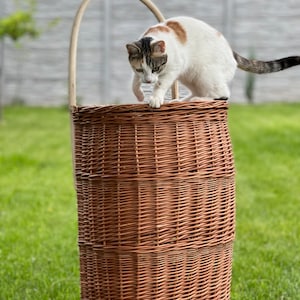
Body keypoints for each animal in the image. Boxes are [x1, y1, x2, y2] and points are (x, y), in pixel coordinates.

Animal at [126, 15, 300, 108]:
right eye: (140, 69)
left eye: (156, 68)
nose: (148, 81)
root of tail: (231, 51)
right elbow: (133, 82)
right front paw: (139, 94)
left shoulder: (173, 68)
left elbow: (161, 83)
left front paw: (155, 98)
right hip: (190, 75)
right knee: (201, 91)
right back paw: (182, 100)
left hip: (205, 73)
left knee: (222, 95)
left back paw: (198, 100)